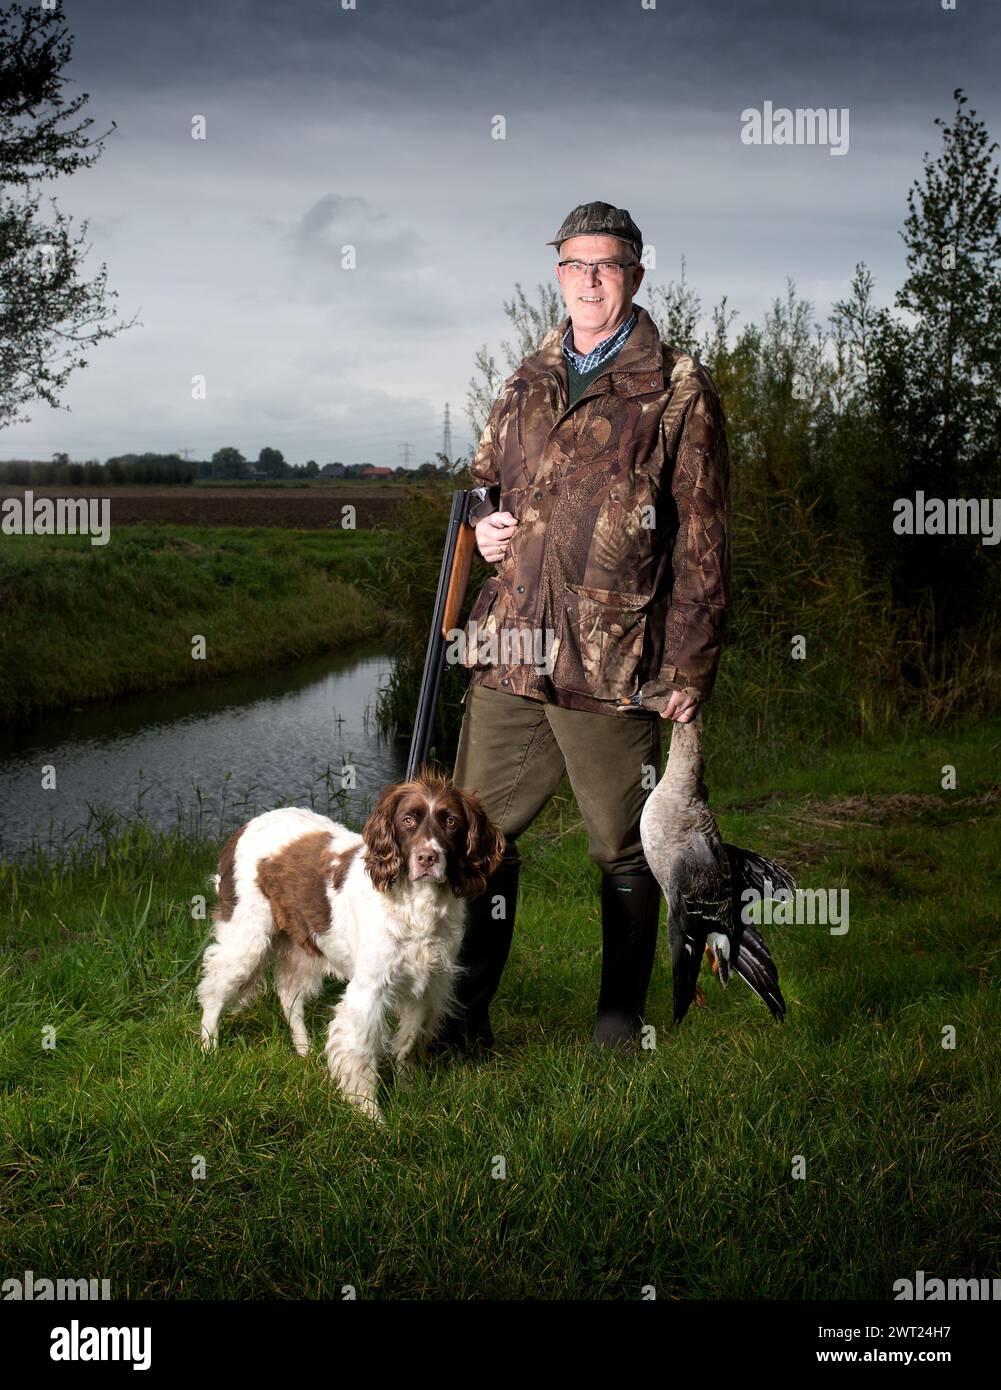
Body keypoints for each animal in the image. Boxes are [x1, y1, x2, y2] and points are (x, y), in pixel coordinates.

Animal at [196, 778, 503, 1123]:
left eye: (451, 821)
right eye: (408, 820)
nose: (428, 858)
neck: (417, 907)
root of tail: (243, 827)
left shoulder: (426, 987)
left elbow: (407, 1045)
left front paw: (409, 1090)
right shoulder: (368, 991)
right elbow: (360, 1054)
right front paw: (371, 1116)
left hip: (303, 947)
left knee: (289, 997)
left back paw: (303, 1051)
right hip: (246, 939)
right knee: (213, 990)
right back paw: (209, 1048)